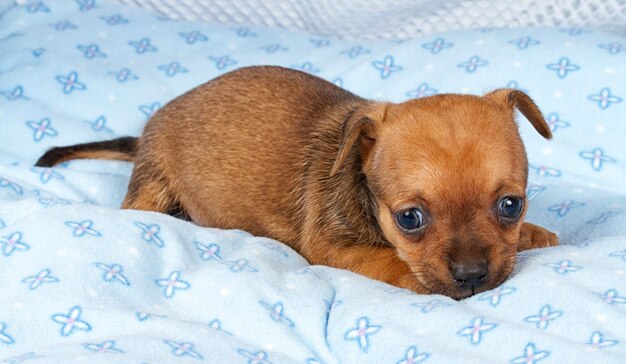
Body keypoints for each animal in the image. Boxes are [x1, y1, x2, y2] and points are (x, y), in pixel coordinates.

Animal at [36, 65, 560, 298]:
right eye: (410, 219)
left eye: (511, 206)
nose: (471, 276)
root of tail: (148, 128)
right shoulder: (334, 248)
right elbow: (393, 263)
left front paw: (537, 236)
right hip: (153, 186)